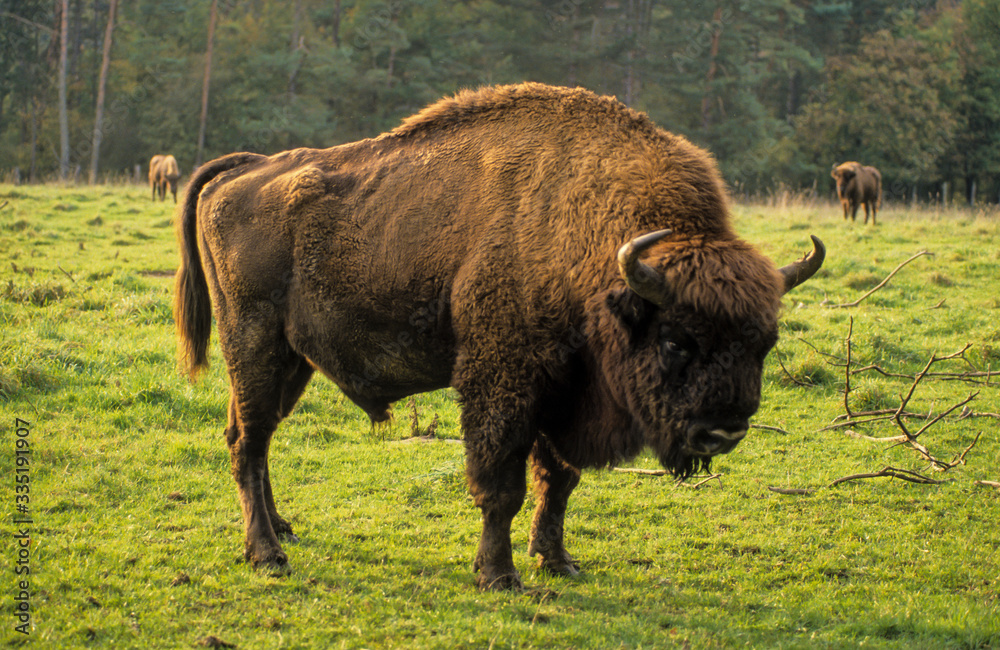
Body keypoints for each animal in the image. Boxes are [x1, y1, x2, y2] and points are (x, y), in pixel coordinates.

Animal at [176, 81, 824, 588]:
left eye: (764, 343)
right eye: (674, 340)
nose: (724, 430)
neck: (580, 231)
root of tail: (245, 169)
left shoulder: (563, 395)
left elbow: (558, 481)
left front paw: (558, 561)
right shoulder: (503, 384)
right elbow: (502, 485)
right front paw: (500, 575)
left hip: (293, 361)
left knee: (253, 436)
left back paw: (281, 528)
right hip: (252, 342)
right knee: (248, 441)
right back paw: (267, 554)